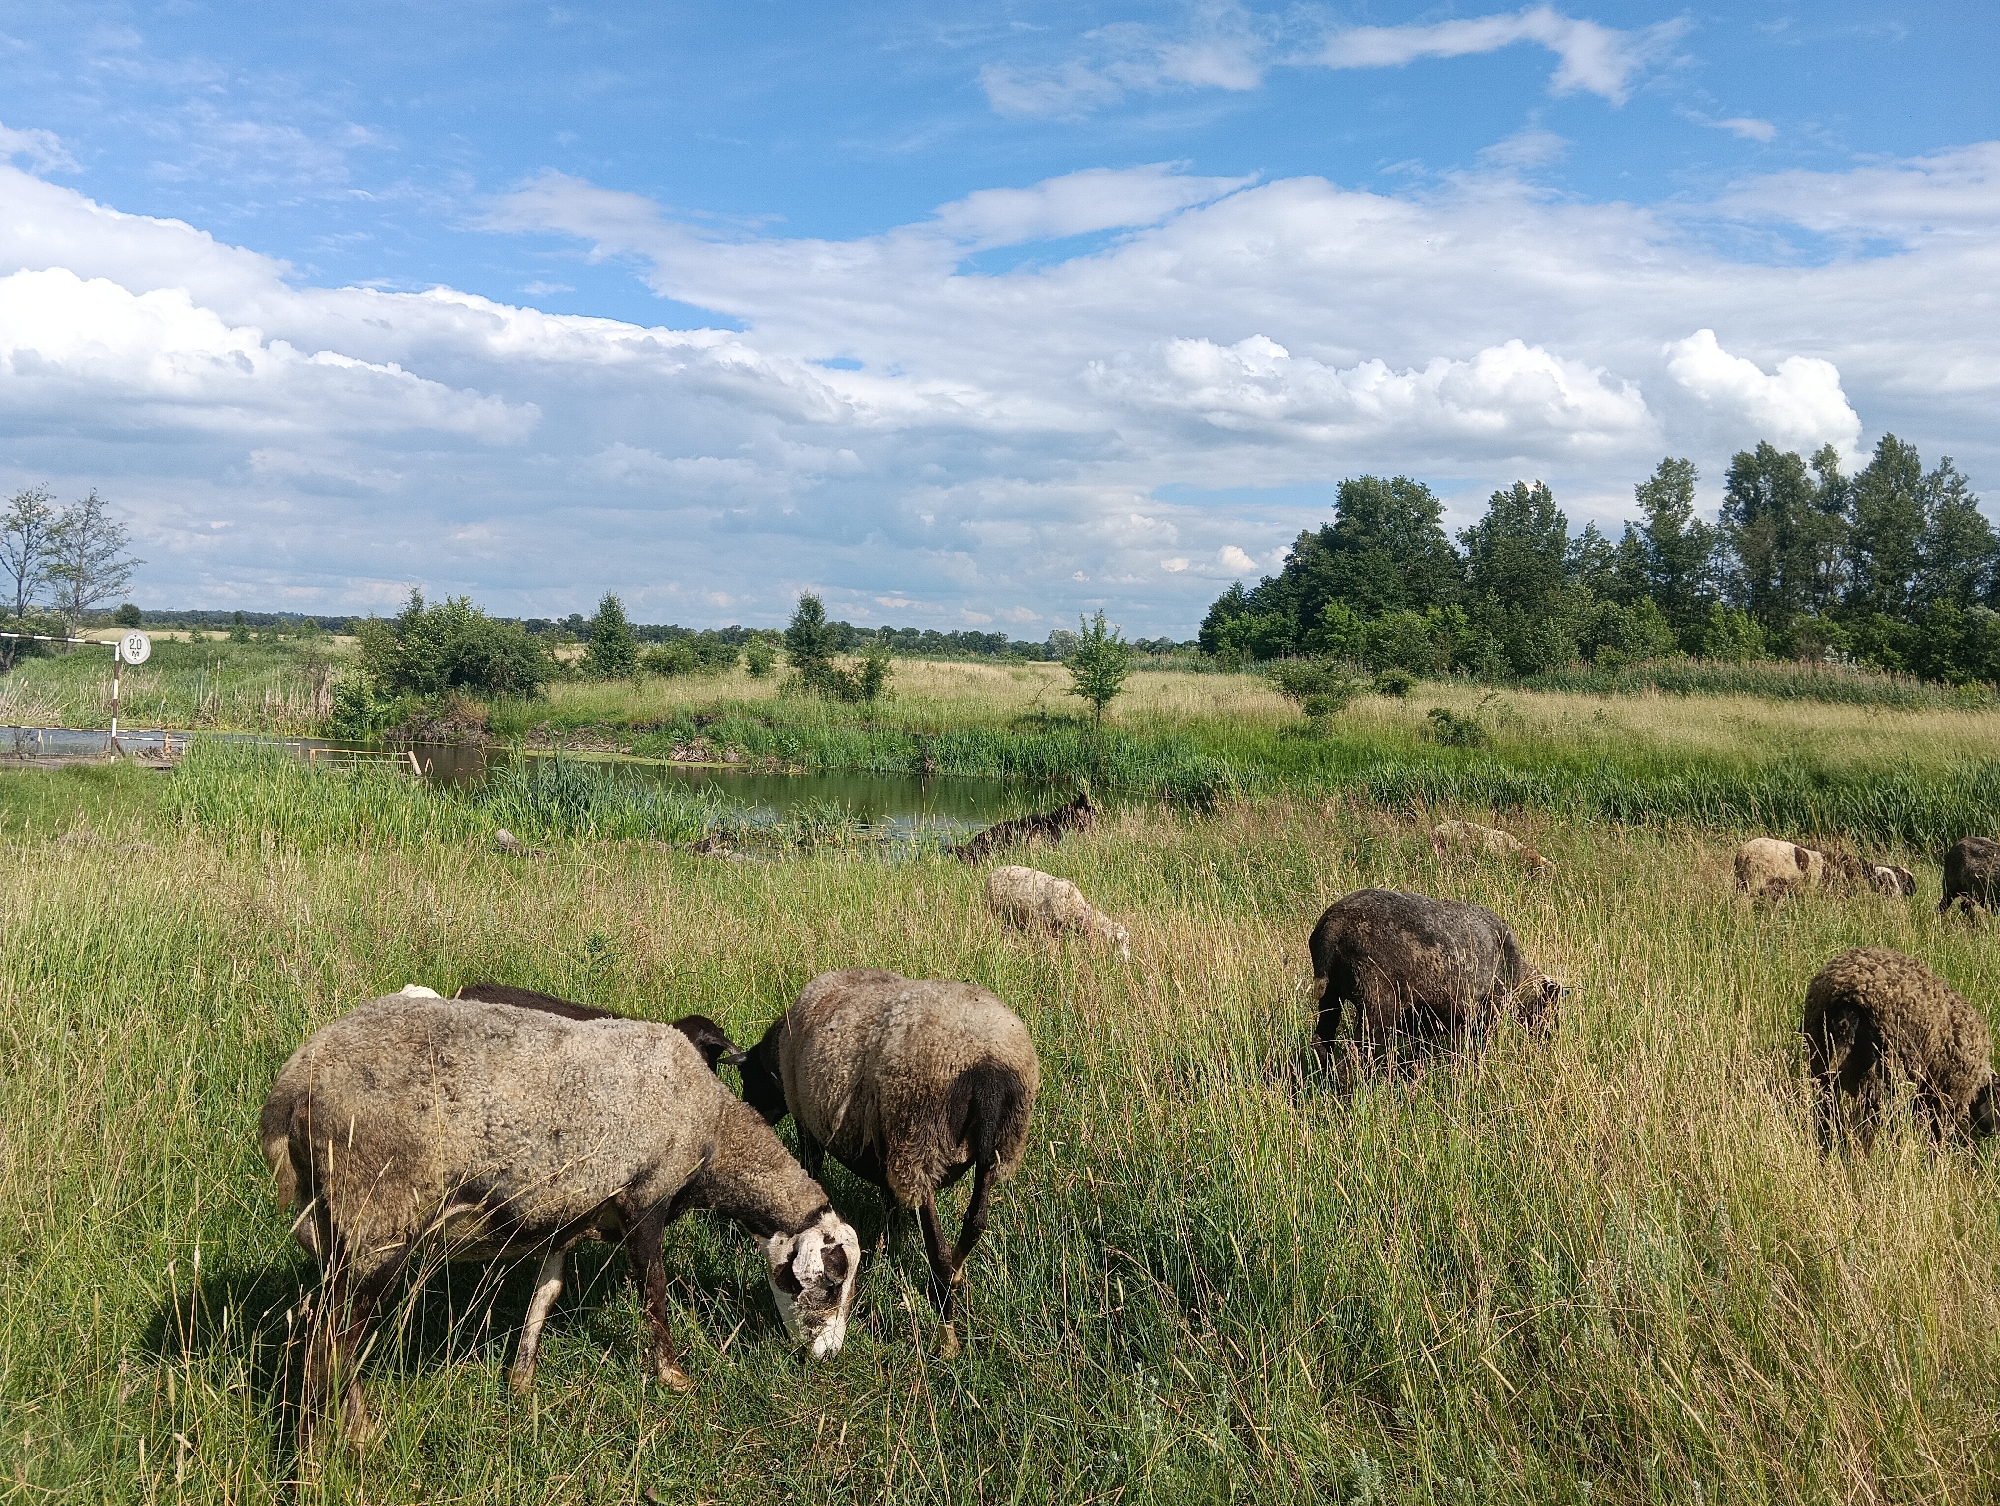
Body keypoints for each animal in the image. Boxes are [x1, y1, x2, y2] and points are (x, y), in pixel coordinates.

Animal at [259, 994, 859, 1442]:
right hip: (377, 1211)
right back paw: (337, 1442)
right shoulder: (645, 1196)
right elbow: (654, 1289)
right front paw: (672, 1377)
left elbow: (546, 1293)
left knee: (325, 1328)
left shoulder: (569, 1212)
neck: (714, 1135)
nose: (829, 1359)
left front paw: (521, 1380)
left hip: (339, 1224)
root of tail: (289, 1093)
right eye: (831, 1285)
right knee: (329, 1336)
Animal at [738, 968, 1039, 1358]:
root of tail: (985, 1062)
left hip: (919, 1143)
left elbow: (815, 1170)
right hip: (998, 1145)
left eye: (748, 1080)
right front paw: (886, 1241)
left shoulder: (809, 1126)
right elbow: (889, 1203)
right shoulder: (884, 1152)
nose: (752, 1118)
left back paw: (947, 1335)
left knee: (939, 1253)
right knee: (975, 1224)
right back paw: (957, 1278)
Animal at [1308, 887, 1559, 1074]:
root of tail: (1334, 925)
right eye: (1549, 1005)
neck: (1518, 973)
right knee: (1363, 1052)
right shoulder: (1486, 1013)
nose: (1550, 1038)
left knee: (1322, 1042)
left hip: (1331, 994)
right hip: (1377, 999)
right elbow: (1476, 1050)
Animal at [1803, 946, 2000, 1153]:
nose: (1994, 1131)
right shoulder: (1947, 1098)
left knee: (1827, 1109)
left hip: (1819, 1056)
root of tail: (1848, 1000)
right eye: (1997, 1097)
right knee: (1870, 1120)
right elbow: (1937, 1136)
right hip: (1885, 1071)